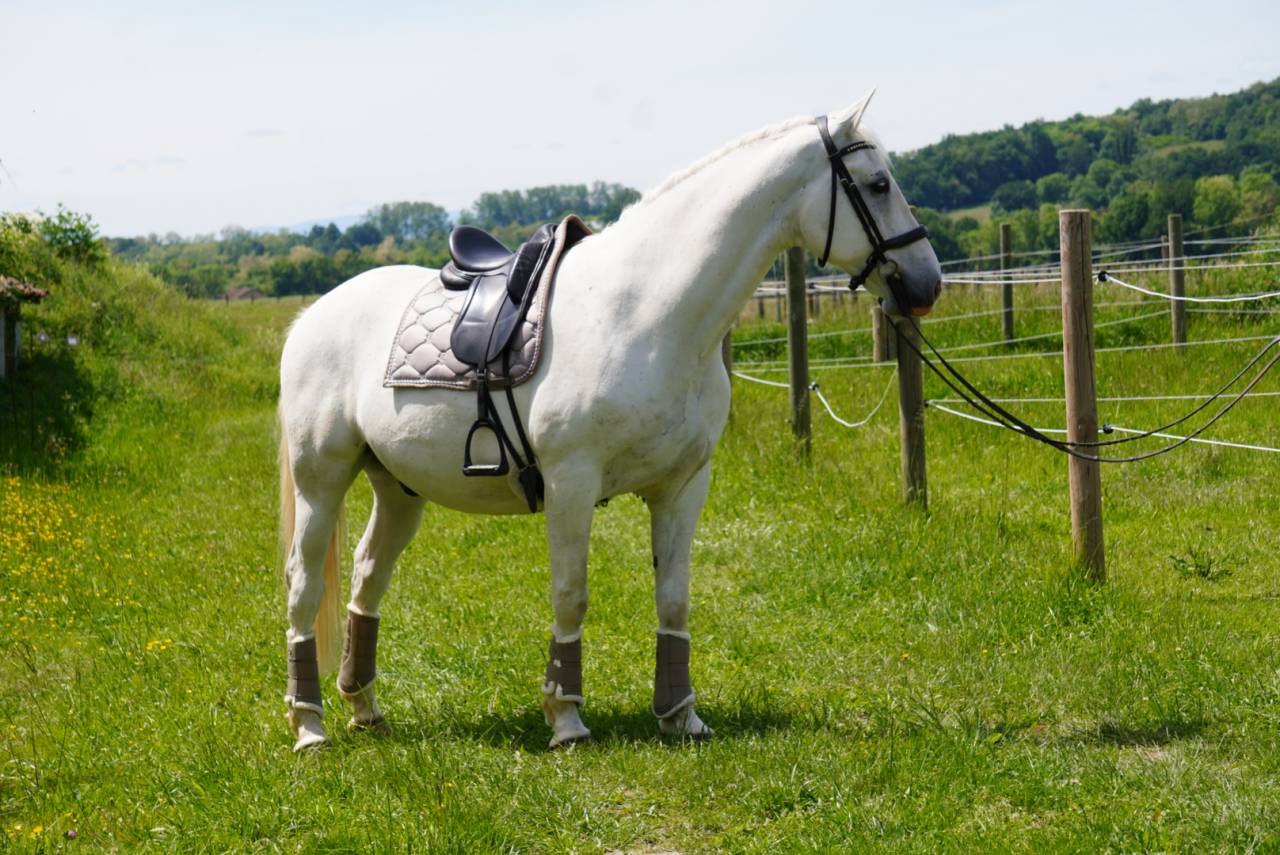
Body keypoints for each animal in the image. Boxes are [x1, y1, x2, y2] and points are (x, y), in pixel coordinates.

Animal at [277, 93, 943, 751]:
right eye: (878, 183)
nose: (926, 283)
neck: (646, 313)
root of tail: (313, 316)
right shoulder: (571, 486)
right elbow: (571, 597)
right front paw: (566, 720)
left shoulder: (683, 487)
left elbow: (674, 599)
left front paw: (680, 715)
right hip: (321, 483)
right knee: (304, 586)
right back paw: (309, 726)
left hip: (399, 489)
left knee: (367, 576)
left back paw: (364, 708)